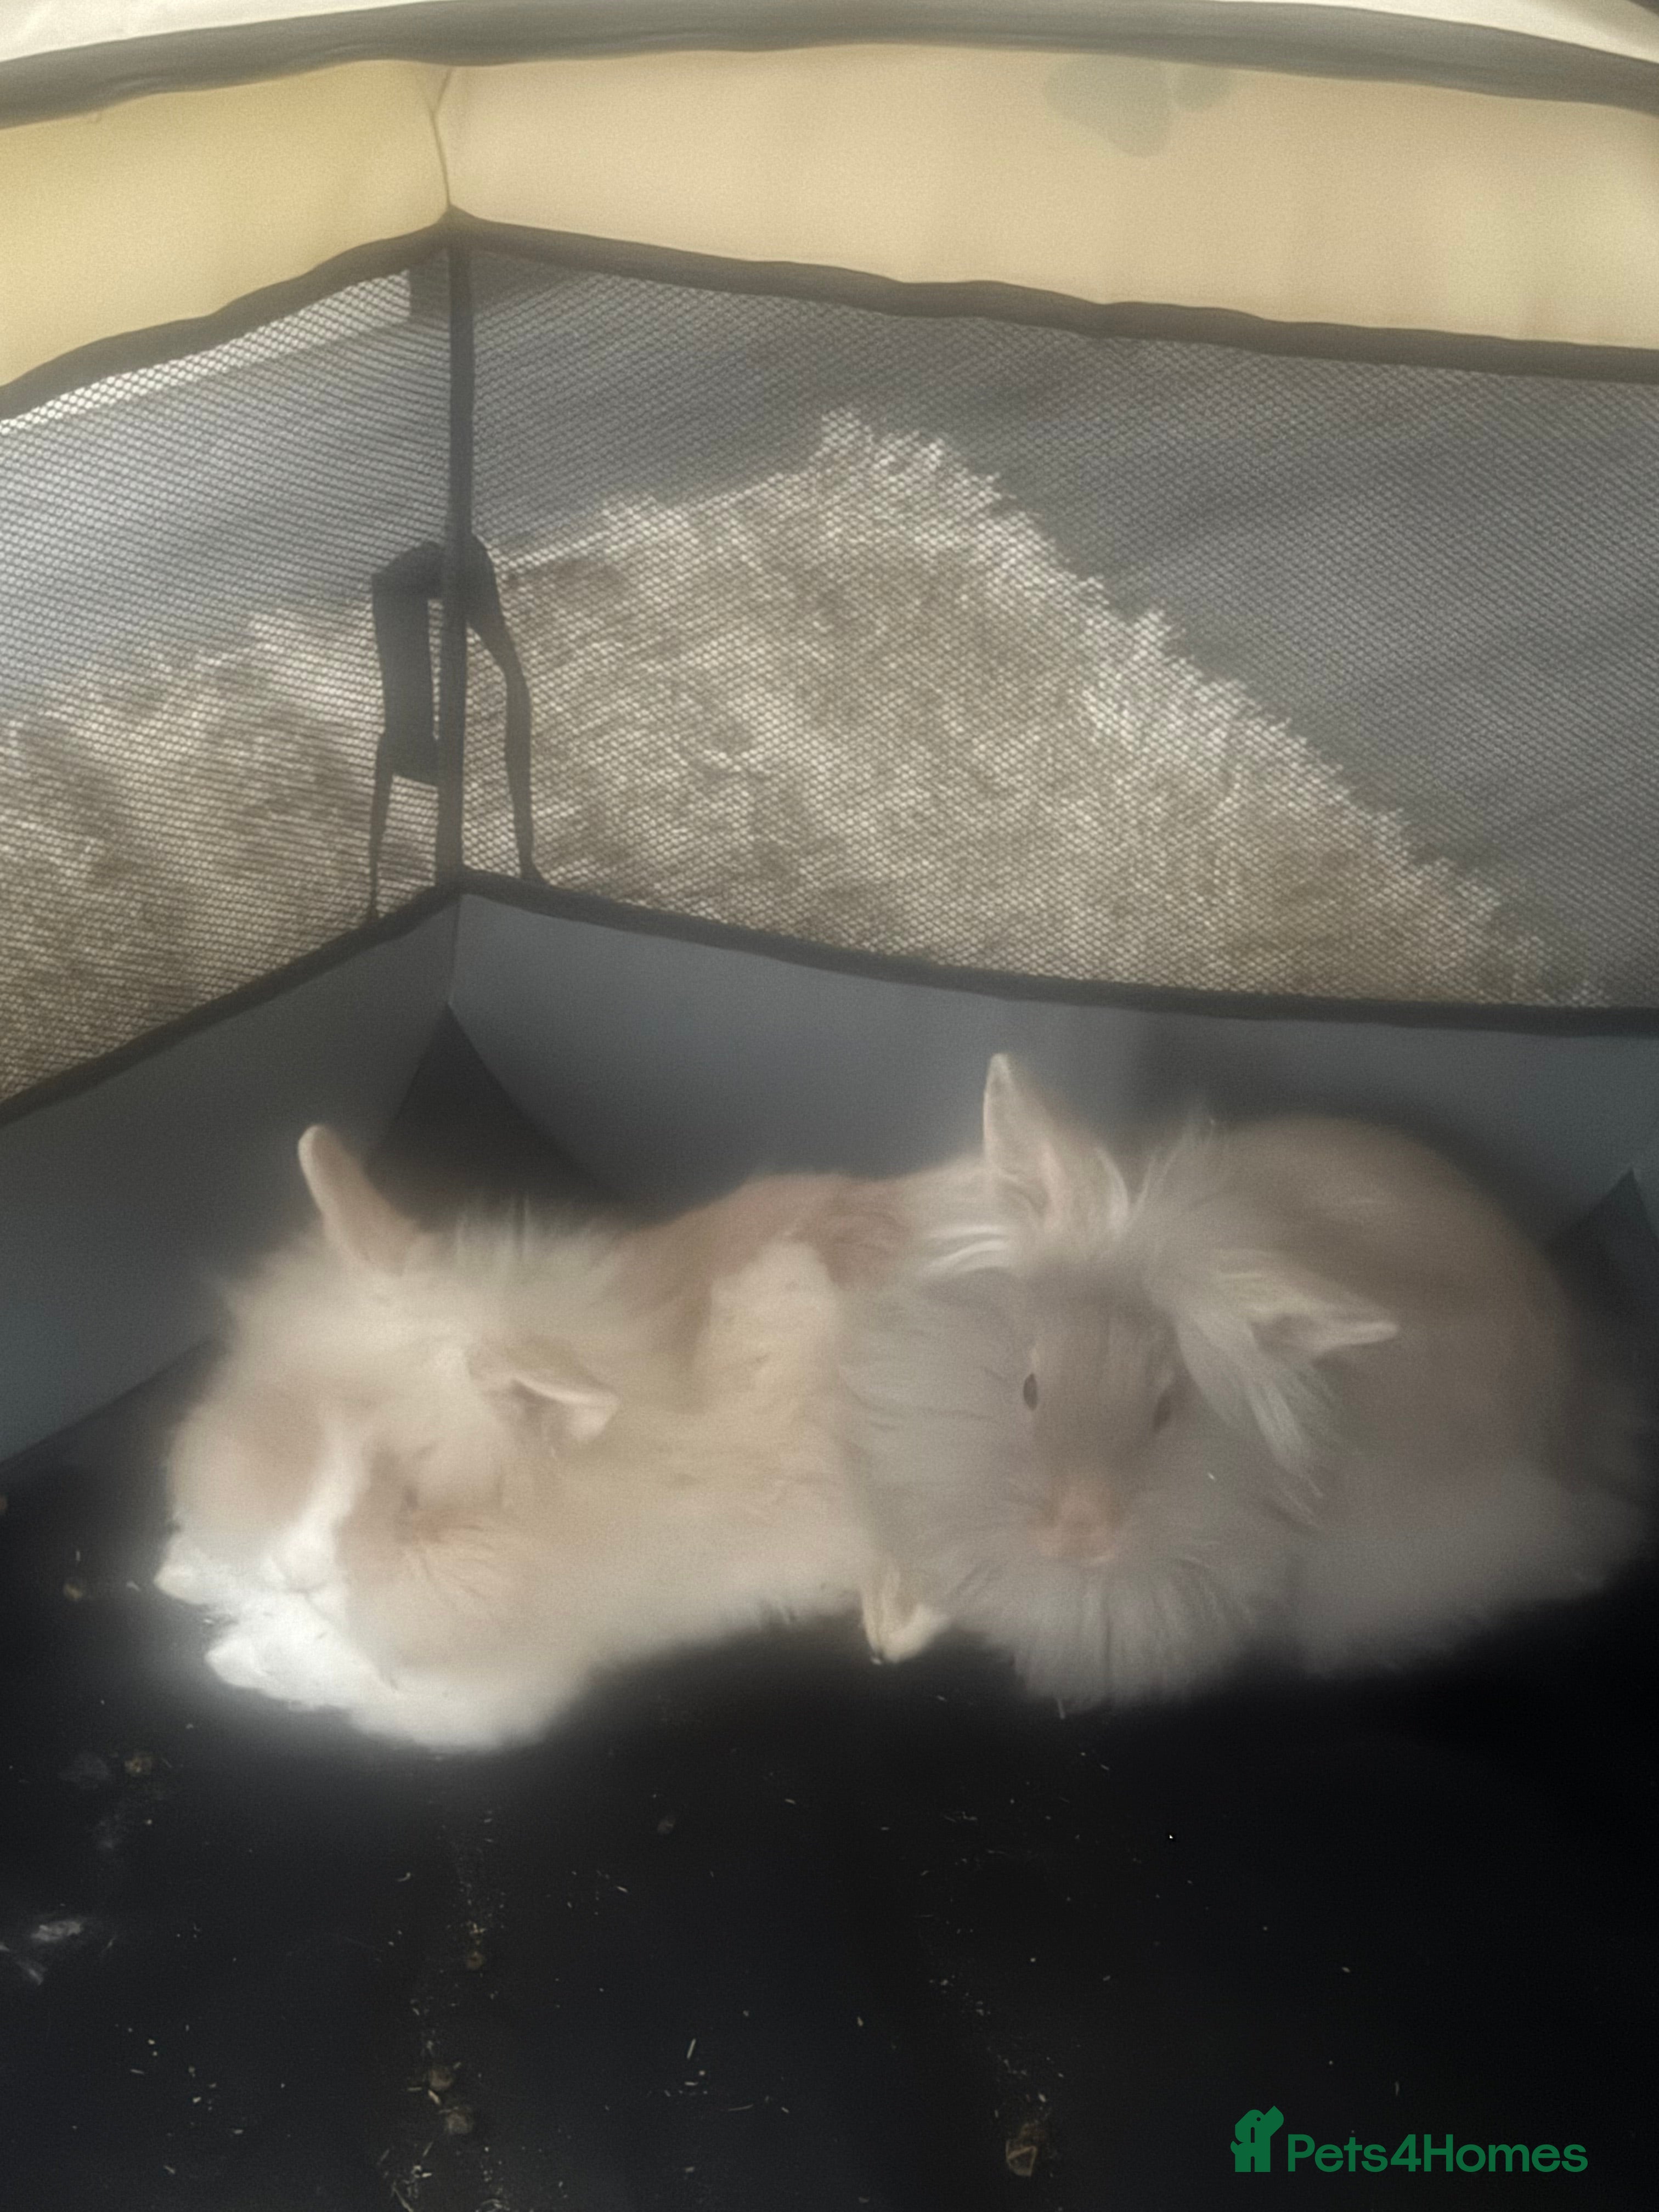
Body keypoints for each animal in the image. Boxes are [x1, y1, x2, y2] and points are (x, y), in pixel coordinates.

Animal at [155, 1130, 943, 1752]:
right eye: (298, 1428)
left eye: (418, 1509)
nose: (300, 1574)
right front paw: (183, 1571)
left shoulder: (485, 1693)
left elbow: (331, 1668)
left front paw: (229, 1656)